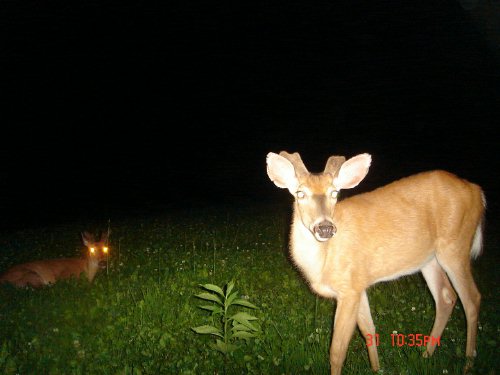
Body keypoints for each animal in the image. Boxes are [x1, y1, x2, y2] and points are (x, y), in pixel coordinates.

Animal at [268, 151, 486, 374]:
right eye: (300, 193)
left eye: (334, 193)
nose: (325, 228)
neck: (323, 263)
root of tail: (477, 191)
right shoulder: (358, 284)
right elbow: (368, 330)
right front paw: (376, 368)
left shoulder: (349, 289)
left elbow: (337, 351)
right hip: (429, 259)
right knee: (446, 297)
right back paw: (426, 354)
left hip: (455, 245)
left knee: (472, 299)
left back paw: (468, 363)